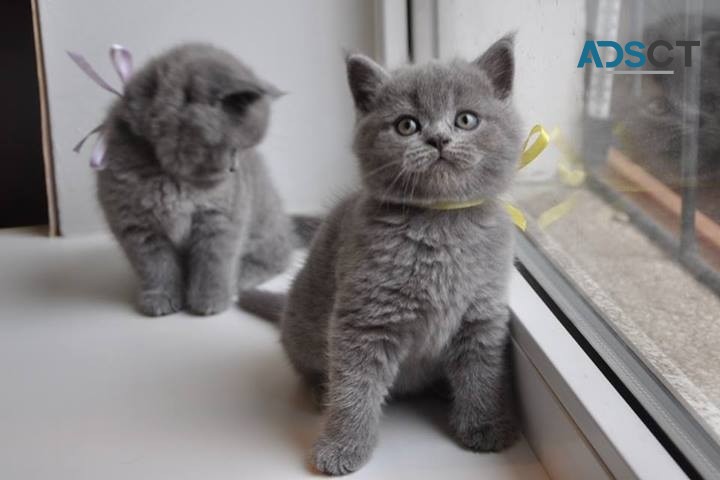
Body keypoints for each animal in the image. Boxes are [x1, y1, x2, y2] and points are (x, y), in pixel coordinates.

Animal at [95, 44, 304, 316]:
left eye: (243, 151)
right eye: (234, 148)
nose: (234, 170)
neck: (173, 177)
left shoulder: (221, 218)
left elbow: (214, 261)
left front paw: (210, 301)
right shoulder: (137, 226)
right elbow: (155, 266)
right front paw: (161, 298)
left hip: (265, 228)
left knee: (277, 256)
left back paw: (240, 278)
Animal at [242, 34, 524, 476]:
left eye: (466, 120)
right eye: (407, 125)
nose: (438, 139)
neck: (440, 223)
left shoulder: (482, 313)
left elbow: (481, 372)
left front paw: (486, 426)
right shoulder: (365, 319)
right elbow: (353, 386)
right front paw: (342, 446)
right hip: (302, 326)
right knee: (307, 364)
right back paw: (317, 391)